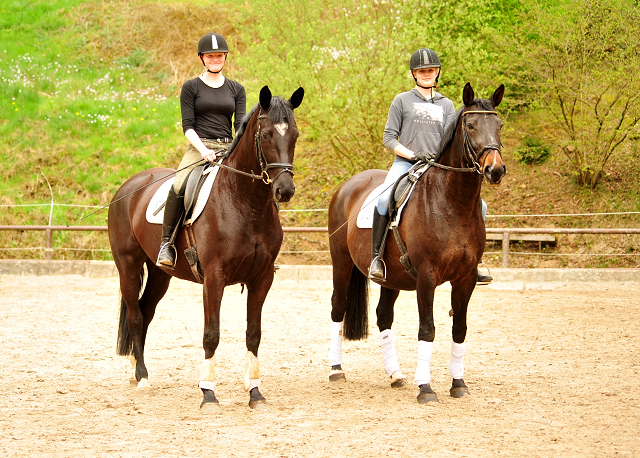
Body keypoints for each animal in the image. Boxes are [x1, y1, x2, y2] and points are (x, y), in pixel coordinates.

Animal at [107, 85, 304, 412]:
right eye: (265, 136)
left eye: (295, 135)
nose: (284, 190)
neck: (244, 202)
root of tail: (128, 186)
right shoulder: (214, 277)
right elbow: (211, 334)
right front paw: (208, 394)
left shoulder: (262, 278)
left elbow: (253, 334)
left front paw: (255, 392)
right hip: (128, 266)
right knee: (135, 315)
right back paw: (143, 378)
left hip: (160, 274)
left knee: (146, 312)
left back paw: (138, 370)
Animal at [330, 83, 504, 404]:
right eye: (471, 125)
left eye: (499, 126)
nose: (495, 170)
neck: (452, 202)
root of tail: (349, 184)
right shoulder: (426, 276)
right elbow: (427, 329)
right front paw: (426, 388)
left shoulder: (466, 278)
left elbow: (459, 329)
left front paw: (458, 383)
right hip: (342, 264)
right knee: (338, 307)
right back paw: (336, 369)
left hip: (391, 278)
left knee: (383, 316)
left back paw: (395, 375)